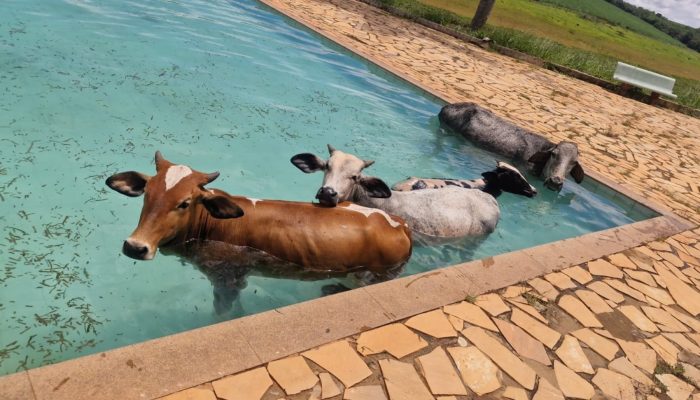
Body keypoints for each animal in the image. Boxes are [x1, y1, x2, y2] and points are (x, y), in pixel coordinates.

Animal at [106, 152, 413, 307]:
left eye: (184, 203)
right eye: (147, 193)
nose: (135, 246)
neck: (211, 222)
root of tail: (400, 224)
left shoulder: (229, 278)